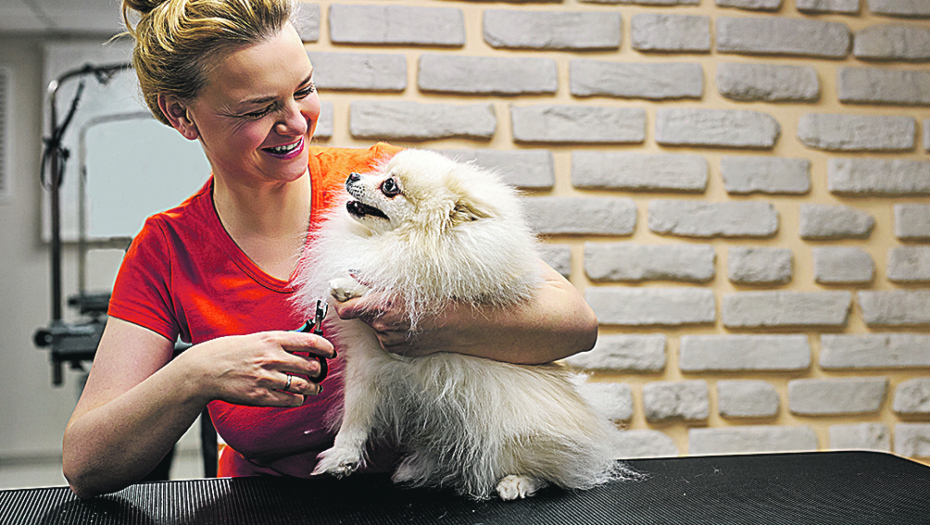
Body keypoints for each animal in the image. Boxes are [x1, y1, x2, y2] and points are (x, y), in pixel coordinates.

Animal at [294, 147, 636, 500]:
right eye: (381, 173)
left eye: (390, 186)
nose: (352, 176)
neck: (404, 239)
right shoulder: (366, 365)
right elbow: (355, 419)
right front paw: (341, 457)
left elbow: (403, 280)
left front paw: (354, 285)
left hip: (515, 430)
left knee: (551, 471)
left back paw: (517, 482)